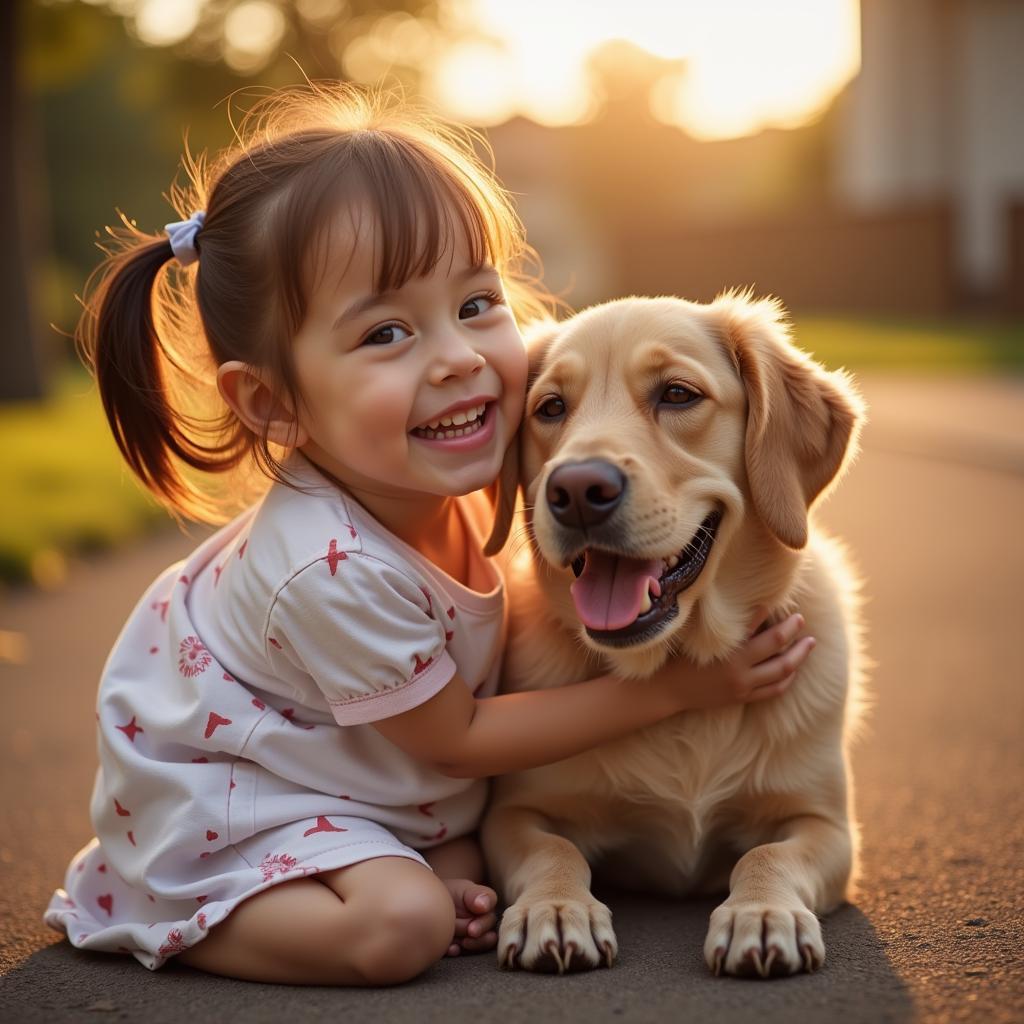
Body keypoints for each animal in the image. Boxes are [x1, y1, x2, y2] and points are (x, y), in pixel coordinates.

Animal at [483, 290, 868, 974]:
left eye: (678, 394)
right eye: (550, 408)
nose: (575, 489)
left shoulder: (826, 825)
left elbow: (766, 854)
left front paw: (760, 913)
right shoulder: (516, 813)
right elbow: (555, 851)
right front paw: (554, 907)